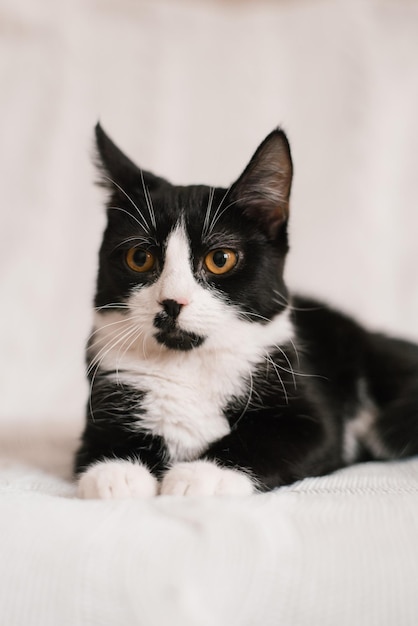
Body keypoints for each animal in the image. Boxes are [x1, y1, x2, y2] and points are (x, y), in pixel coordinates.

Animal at [75, 123, 418, 498]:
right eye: (139, 257)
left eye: (220, 259)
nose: (173, 301)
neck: (188, 364)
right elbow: (96, 444)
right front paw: (116, 473)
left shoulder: (312, 412)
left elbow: (279, 438)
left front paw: (199, 475)